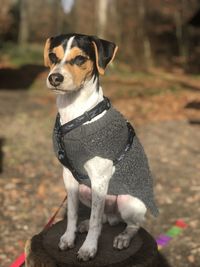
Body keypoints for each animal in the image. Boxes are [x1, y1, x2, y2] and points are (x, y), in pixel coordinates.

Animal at [43, 33, 158, 262]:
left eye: (80, 59)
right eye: (52, 56)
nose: (54, 78)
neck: (76, 116)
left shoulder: (99, 178)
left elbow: (96, 220)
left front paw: (88, 248)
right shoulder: (69, 176)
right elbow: (73, 213)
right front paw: (68, 237)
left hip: (126, 201)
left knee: (131, 224)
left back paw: (123, 237)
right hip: (85, 190)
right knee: (105, 216)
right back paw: (85, 225)